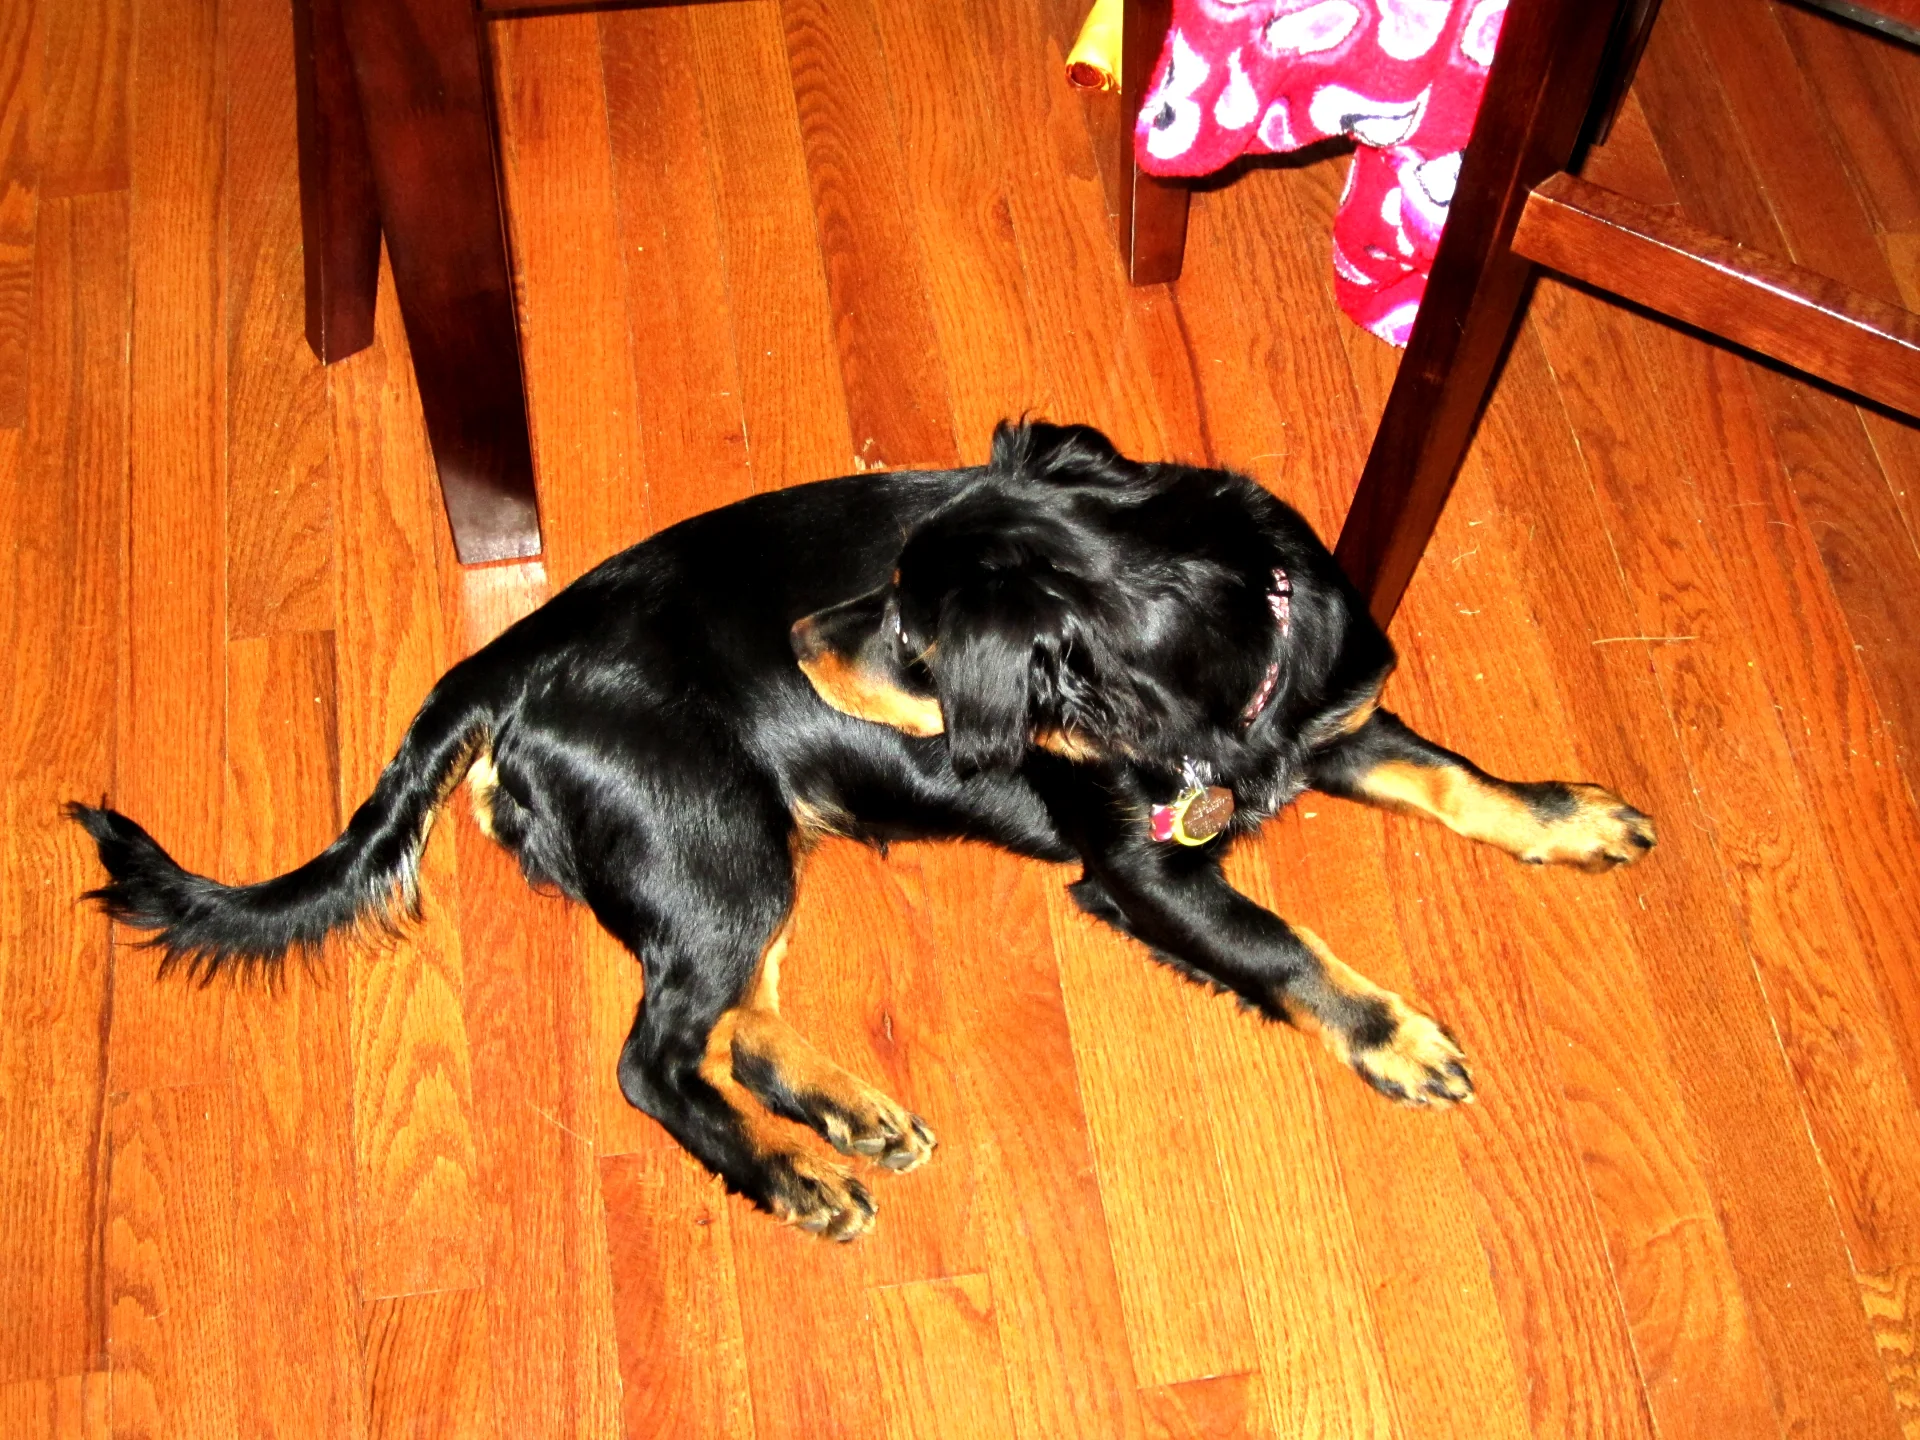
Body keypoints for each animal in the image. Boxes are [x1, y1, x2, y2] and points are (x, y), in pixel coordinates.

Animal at [72, 420, 1654, 1240]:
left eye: (910, 625)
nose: (800, 637)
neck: (1221, 673)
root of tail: (508, 657)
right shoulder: (1142, 870)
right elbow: (1286, 948)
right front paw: (1400, 1040)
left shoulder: (1328, 716)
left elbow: (1453, 777)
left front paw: (1569, 818)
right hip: (716, 840)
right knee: (655, 1060)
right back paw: (791, 1173)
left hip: (745, 849)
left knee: (729, 1026)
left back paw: (848, 1113)